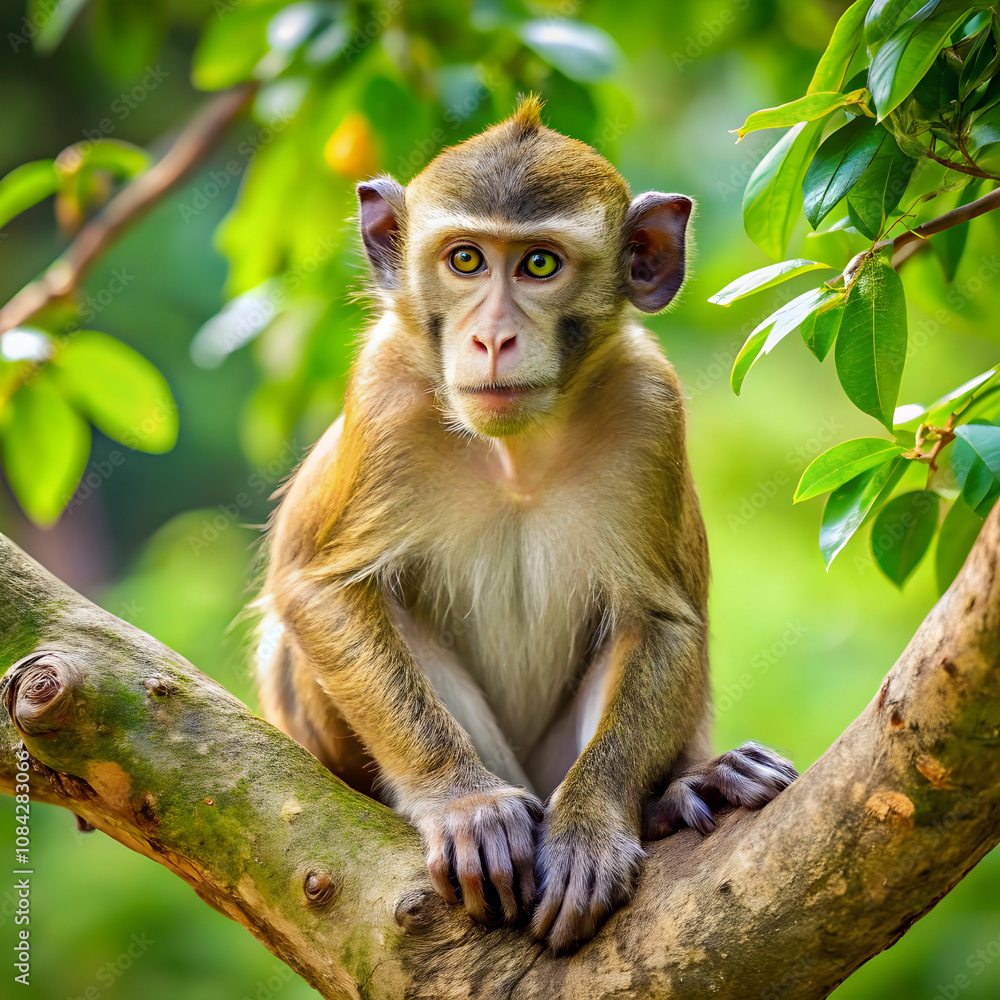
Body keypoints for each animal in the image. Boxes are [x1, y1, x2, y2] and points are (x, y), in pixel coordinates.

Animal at [255, 96, 797, 953]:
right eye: (466, 260)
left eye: (539, 265)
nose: (492, 337)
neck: (516, 455)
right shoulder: (383, 390)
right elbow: (320, 588)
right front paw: (463, 803)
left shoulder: (651, 404)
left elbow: (661, 619)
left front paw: (592, 827)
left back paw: (677, 793)